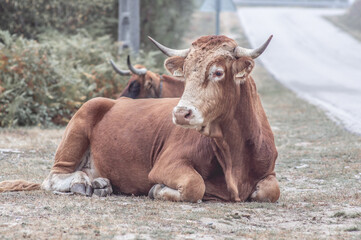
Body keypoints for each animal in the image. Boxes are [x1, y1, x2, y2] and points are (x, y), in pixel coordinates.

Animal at [0, 34, 280, 202]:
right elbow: (194, 185)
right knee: (53, 177)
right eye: (185, 72)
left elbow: (271, 191)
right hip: (81, 122)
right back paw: (82, 183)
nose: (181, 113)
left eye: (218, 72)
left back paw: (100, 184)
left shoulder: (269, 171)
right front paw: (158, 190)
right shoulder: (166, 165)